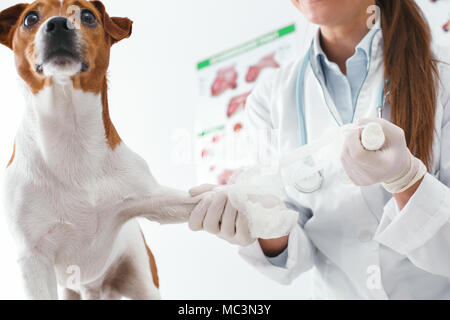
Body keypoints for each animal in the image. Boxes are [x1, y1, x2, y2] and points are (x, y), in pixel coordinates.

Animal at [0, 0, 198, 300]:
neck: (71, 134)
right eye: (30, 18)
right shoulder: (33, 260)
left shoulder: (154, 199)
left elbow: (201, 199)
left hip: (142, 279)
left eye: (87, 16)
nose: (58, 24)